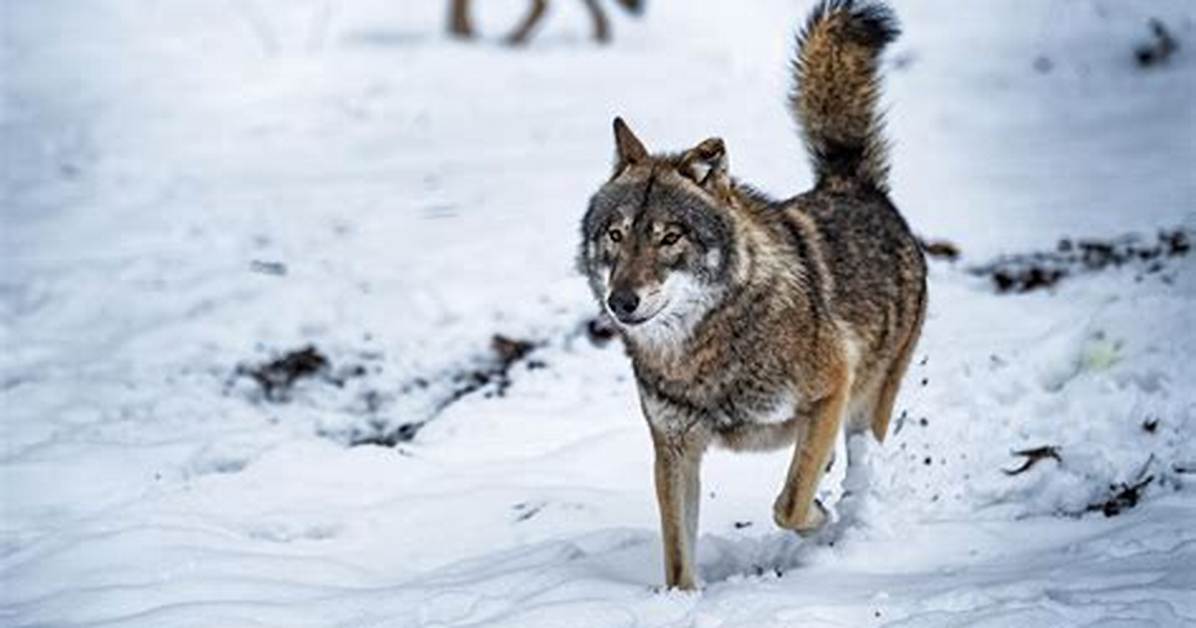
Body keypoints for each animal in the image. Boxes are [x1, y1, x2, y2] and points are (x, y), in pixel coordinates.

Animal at [577, 0, 925, 590]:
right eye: (617, 235)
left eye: (670, 237)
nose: (621, 302)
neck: (706, 351)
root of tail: (850, 183)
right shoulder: (674, 450)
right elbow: (679, 558)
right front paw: (681, 601)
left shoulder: (831, 389)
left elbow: (788, 505)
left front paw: (821, 519)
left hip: (867, 403)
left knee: (856, 465)